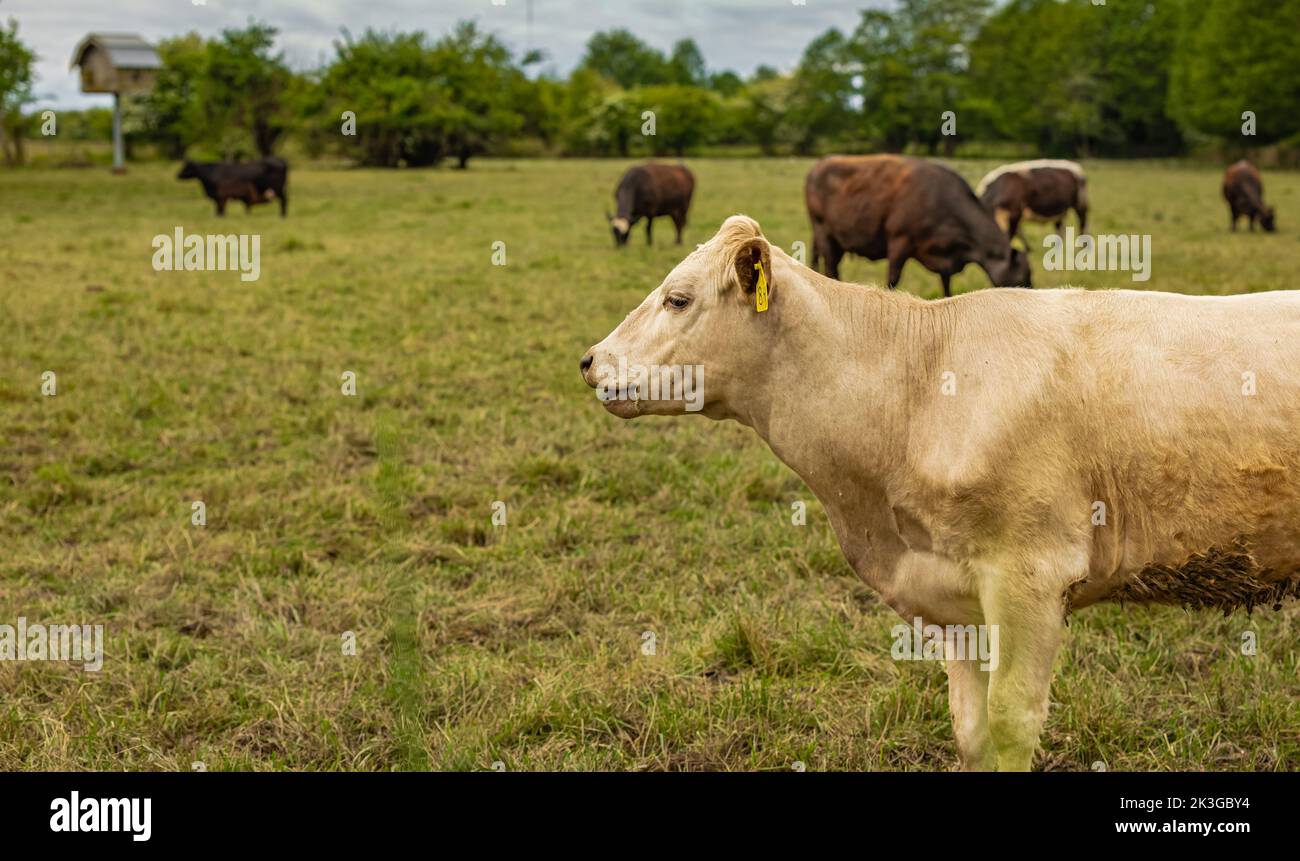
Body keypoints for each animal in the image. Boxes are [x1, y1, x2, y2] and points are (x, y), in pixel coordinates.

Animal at [580, 214, 1300, 771]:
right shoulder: (952, 600)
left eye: (678, 298)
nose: (590, 361)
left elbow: (1011, 721)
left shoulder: (1031, 576)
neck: (918, 386)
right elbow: (971, 729)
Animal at [805, 155, 1029, 297]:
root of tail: (819, 164)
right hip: (824, 234)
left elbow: (946, 286)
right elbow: (892, 280)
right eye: (1024, 277)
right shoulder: (899, 242)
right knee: (831, 269)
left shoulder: (945, 257)